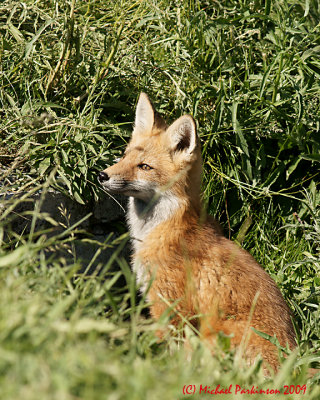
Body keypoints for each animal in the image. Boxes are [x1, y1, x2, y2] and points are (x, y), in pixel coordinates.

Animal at [99, 92, 296, 370]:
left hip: (212, 335)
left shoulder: (171, 307)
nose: (101, 175)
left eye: (144, 166)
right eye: (124, 156)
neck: (161, 230)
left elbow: (166, 352)